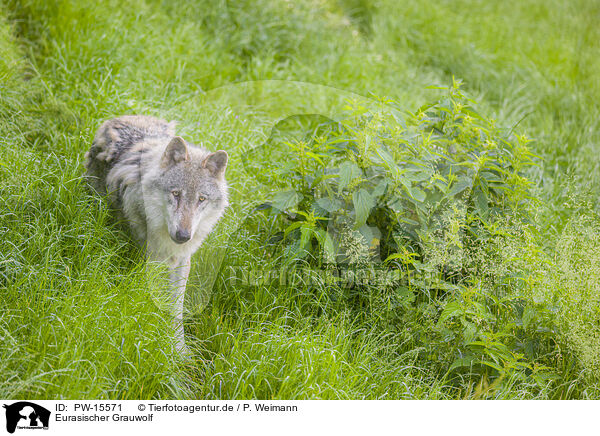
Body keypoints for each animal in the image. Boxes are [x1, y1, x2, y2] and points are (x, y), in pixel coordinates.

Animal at [86, 115, 230, 350]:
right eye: (176, 193)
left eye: (201, 199)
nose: (183, 236)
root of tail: (125, 117)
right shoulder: (152, 258)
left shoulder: (182, 261)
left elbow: (176, 310)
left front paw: (178, 349)